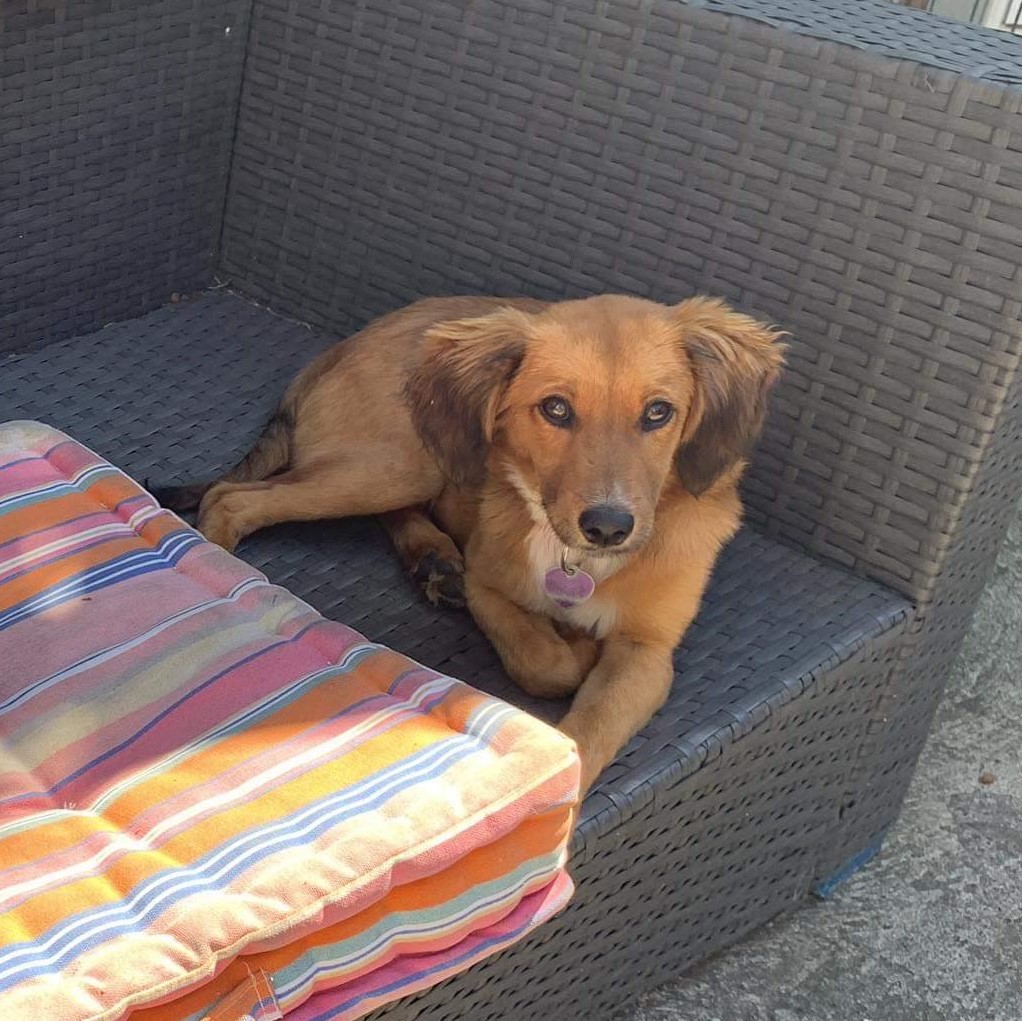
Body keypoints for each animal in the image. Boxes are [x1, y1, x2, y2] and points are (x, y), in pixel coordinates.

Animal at [157, 294, 780, 789]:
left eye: (658, 413)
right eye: (556, 408)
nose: (608, 526)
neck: (577, 559)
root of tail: (333, 352)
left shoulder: (648, 652)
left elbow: (592, 730)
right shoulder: (488, 582)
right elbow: (544, 664)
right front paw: (574, 650)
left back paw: (433, 560)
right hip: (397, 464)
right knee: (230, 498)